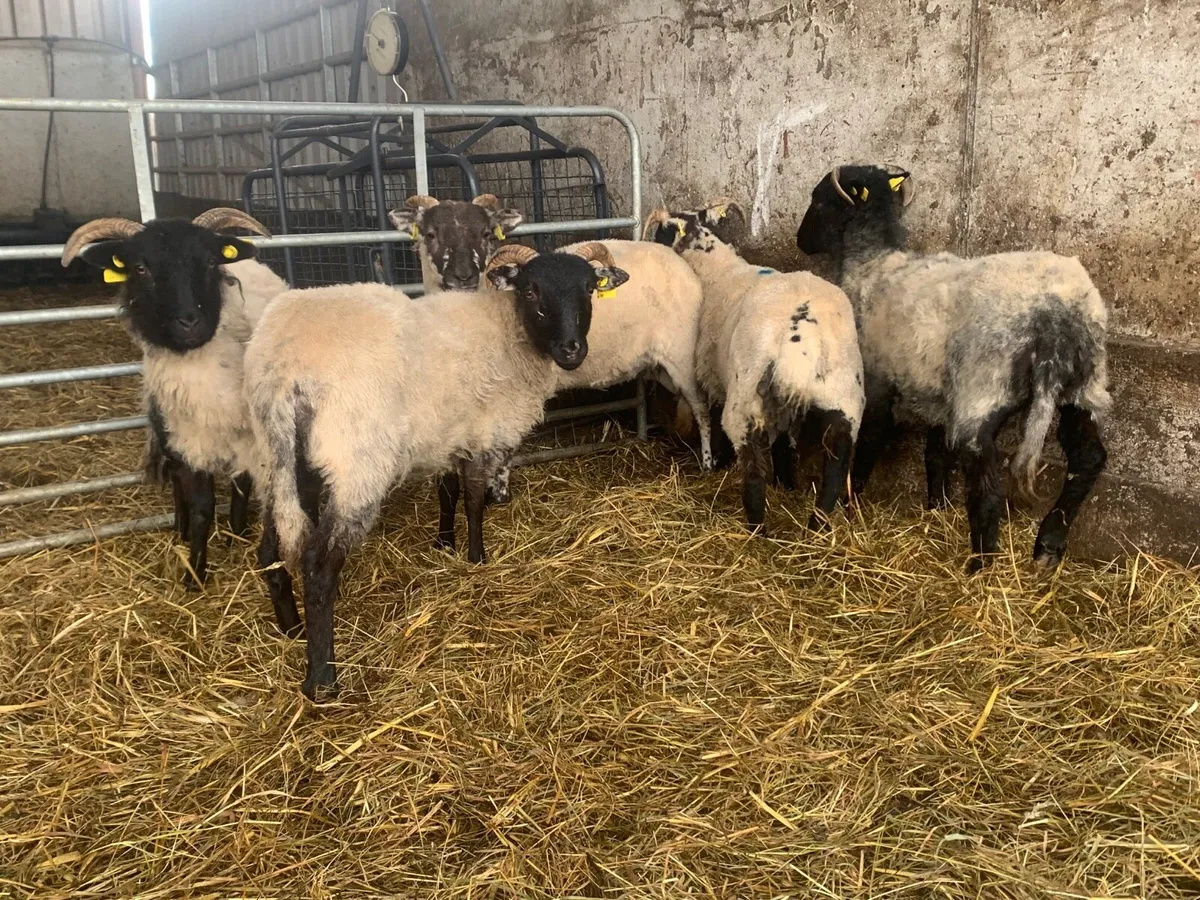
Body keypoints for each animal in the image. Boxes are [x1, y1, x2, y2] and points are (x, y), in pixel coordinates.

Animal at [61, 209, 285, 585]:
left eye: (210, 261)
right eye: (140, 268)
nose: (190, 322)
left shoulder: (251, 439)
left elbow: (241, 488)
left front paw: (237, 534)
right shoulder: (188, 441)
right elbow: (201, 507)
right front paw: (195, 572)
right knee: (179, 485)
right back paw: (180, 530)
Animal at [245, 242, 630, 700]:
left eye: (589, 288)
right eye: (531, 290)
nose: (573, 350)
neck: (507, 330)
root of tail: (284, 365)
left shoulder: (449, 435)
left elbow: (448, 492)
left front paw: (444, 544)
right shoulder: (484, 432)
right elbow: (475, 501)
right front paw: (477, 558)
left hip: (280, 461)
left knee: (269, 551)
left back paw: (291, 629)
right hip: (356, 462)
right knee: (319, 565)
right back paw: (322, 678)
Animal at [645, 200, 865, 532]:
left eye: (660, 232)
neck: (717, 270)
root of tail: (804, 337)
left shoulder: (715, 377)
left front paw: (718, 462)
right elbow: (786, 442)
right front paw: (786, 484)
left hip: (745, 395)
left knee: (751, 470)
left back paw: (757, 530)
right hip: (845, 400)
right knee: (836, 467)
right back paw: (818, 525)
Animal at [796, 164, 1110, 571]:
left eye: (818, 201)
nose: (801, 241)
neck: (871, 262)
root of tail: (1055, 315)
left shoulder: (877, 380)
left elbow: (869, 441)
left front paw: (853, 504)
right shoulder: (939, 395)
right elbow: (935, 453)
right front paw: (936, 508)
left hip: (982, 391)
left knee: (988, 487)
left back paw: (980, 566)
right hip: (1085, 386)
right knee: (1088, 460)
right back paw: (1049, 545)